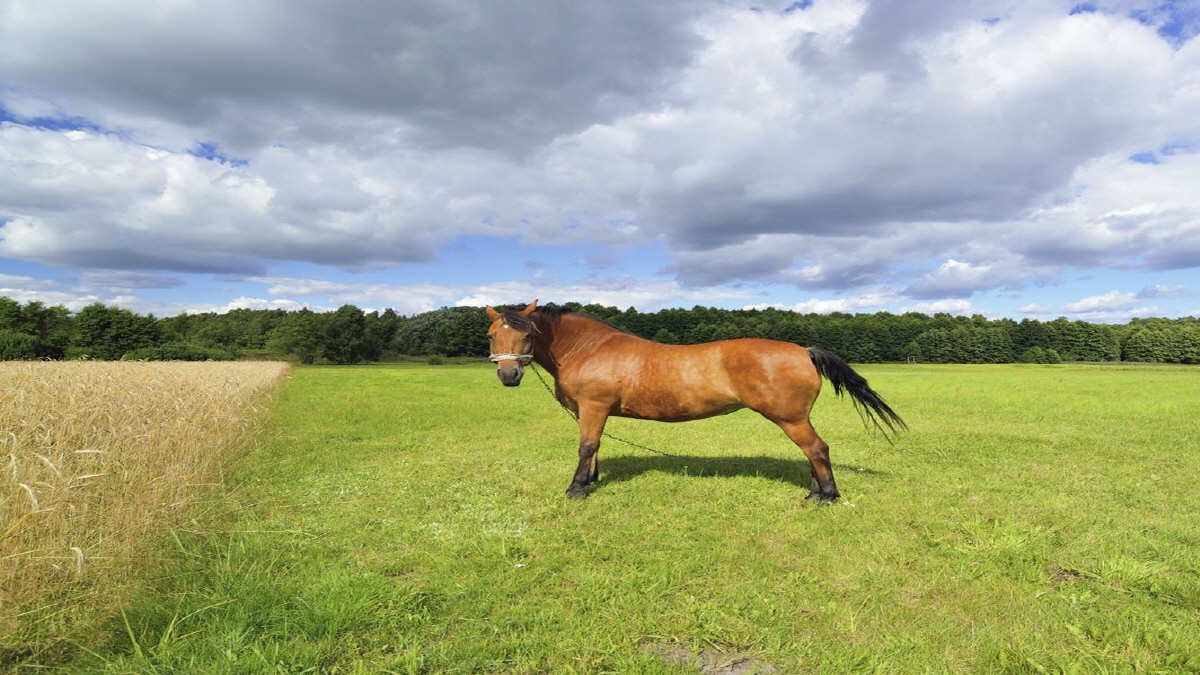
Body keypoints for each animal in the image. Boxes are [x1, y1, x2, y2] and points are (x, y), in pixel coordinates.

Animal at [485, 301, 905, 503]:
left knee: (816, 449)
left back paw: (827, 497)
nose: (509, 375)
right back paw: (816, 492)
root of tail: (803, 350)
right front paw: (590, 480)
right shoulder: (587, 412)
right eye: (491, 334)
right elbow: (593, 448)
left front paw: (576, 489)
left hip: (790, 418)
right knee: (812, 452)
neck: (590, 349)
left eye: (528, 333)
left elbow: (587, 445)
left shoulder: (593, 407)